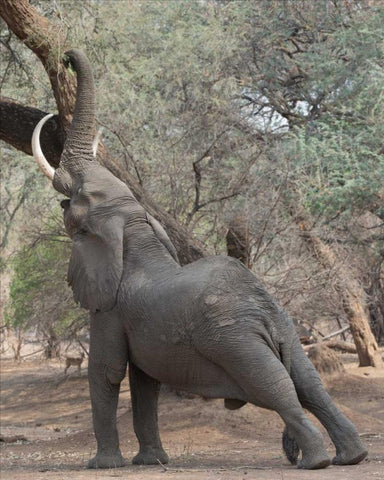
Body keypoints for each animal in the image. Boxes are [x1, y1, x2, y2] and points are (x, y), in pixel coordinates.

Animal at [31, 50, 368, 470]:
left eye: (76, 199)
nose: (66, 57)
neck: (134, 229)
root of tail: (263, 309)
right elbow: (144, 382)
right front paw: (151, 462)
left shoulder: (109, 309)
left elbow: (107, 372)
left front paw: (104, 466)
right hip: (284, 327)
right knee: (310, 384)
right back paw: (350, 457)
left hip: (234, 340)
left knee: (277, 388)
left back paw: (315, 462)